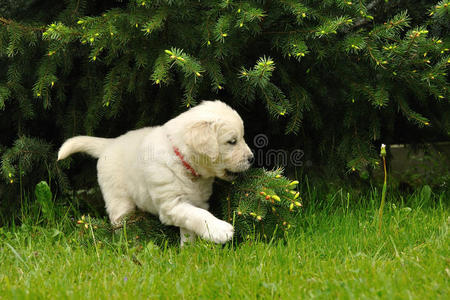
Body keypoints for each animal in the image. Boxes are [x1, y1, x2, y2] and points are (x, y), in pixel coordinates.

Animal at [57, 99, 253, 245]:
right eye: (232, 141)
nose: (251, 158)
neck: (183, 162)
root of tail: (109, 143)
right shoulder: (171, 204)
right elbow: (199, 215)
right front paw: (220, 230)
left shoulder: (196, 201)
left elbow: (190, 224)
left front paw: (189, 250)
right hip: (118, 198)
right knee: (119, 223)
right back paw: (126, 243)